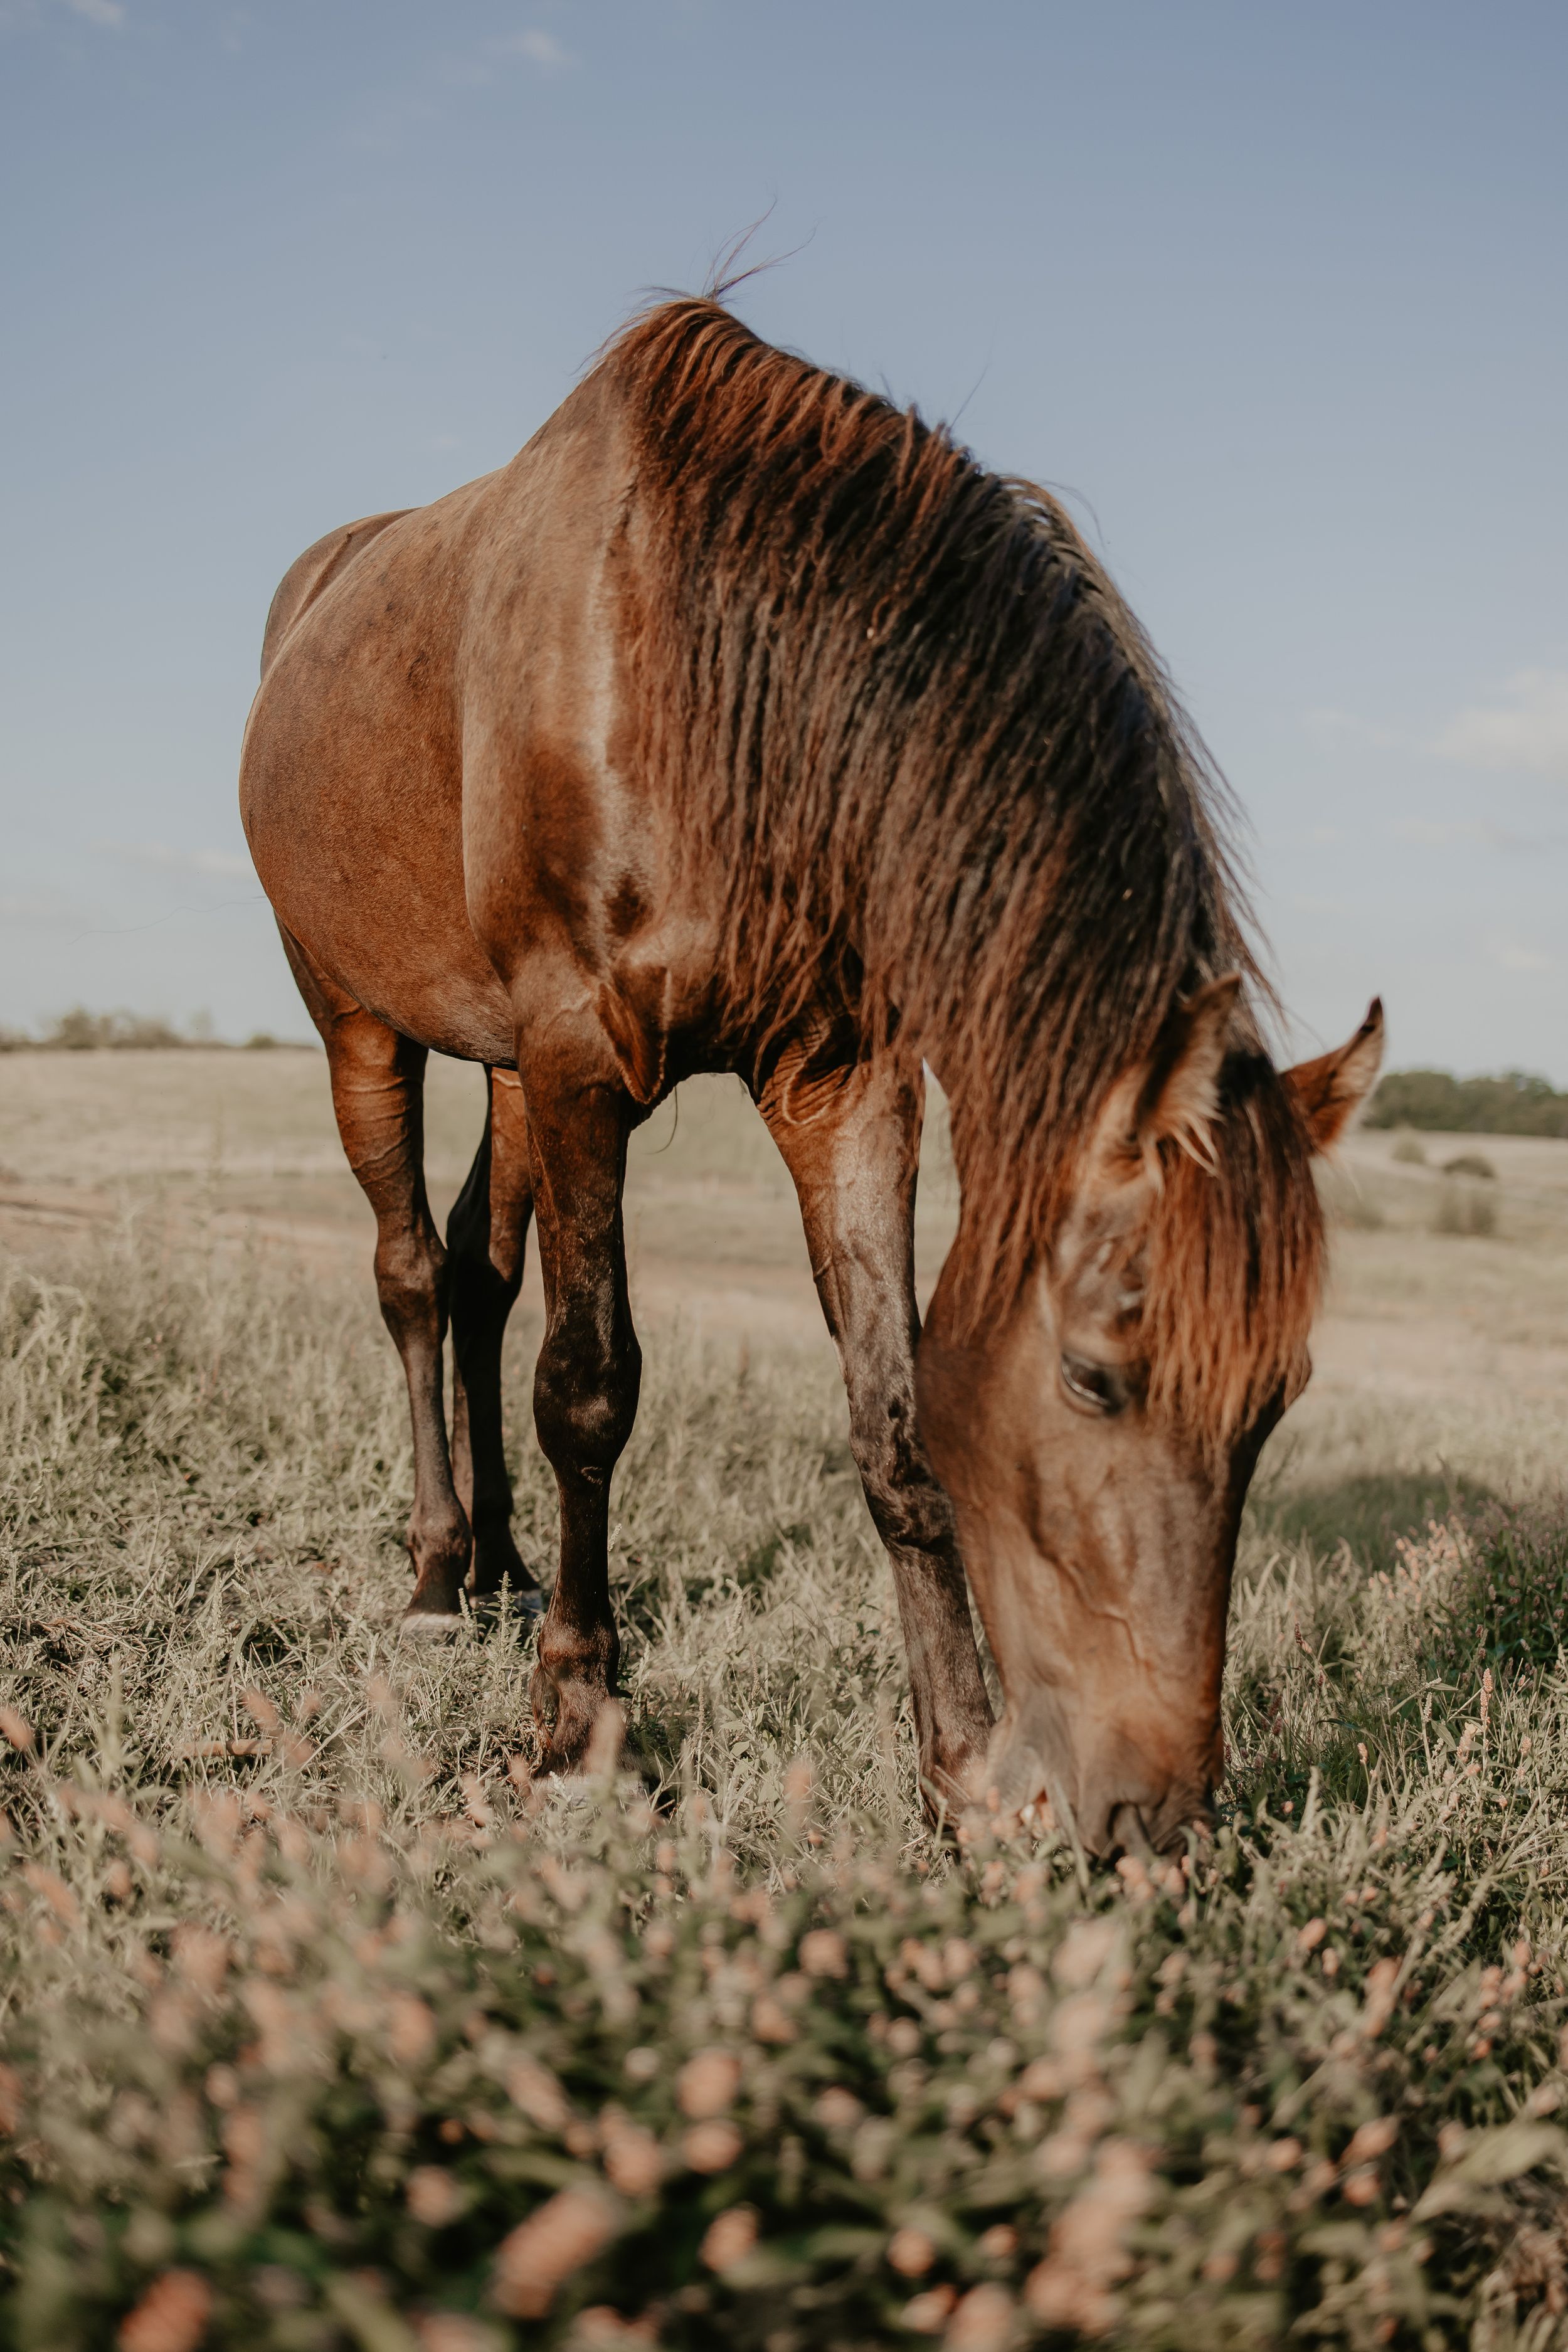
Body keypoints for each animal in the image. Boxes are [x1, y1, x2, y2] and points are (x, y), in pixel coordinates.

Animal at [240, 291, 1381, 1855]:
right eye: (1094, 1379)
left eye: (1275, 1401)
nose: (1154, 1822)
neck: (704, 663)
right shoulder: (583, 1058)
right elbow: (589, 1388)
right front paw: (579, 1724)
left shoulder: (836, 1082)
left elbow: (894, 1421)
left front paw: (960, 1765)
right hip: (358, 1020)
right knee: (414, 1278)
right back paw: (431, 1580)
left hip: (509, 1075)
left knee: (478, 1276)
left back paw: (498, 1568)